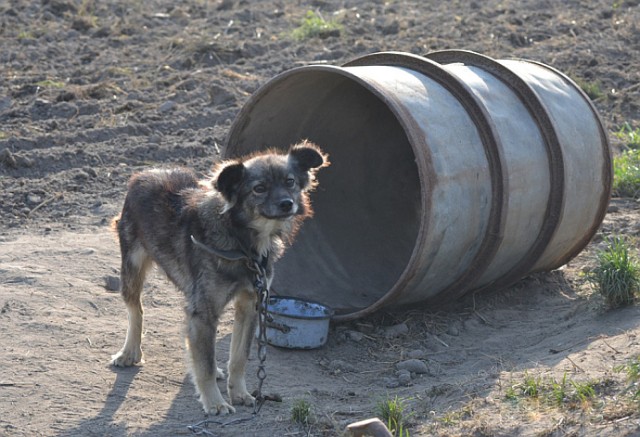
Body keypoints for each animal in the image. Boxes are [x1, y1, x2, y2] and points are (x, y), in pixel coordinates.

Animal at [110, 141, 328, 414]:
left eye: (290, 182)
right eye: (259, 188)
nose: (288, 204)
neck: (243, 243)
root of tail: (146, 172)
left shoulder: (250, 304)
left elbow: (239, 358)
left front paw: (240, 393)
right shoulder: (204, 311)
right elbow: (205, 362)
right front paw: (215, 403)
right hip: (132, 267)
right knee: (136, 310)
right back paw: (129, 352)